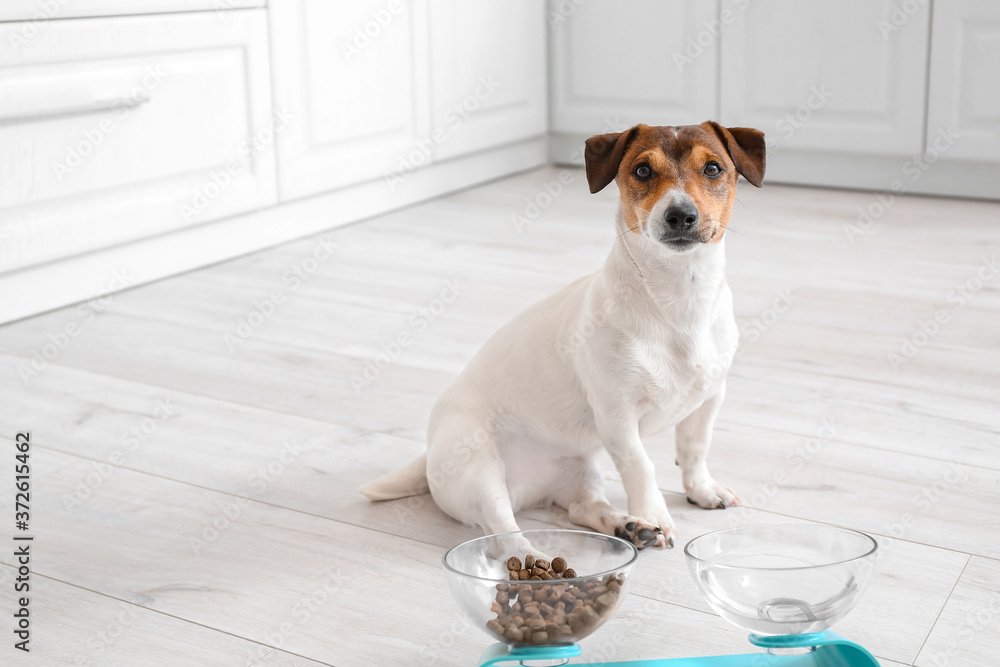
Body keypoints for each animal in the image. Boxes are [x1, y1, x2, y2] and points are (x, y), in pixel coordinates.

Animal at [364, 122, 760, 552]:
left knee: (582, 508)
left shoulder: (708, 398)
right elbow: (641, 466)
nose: (681, 215)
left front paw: (700, 490)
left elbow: (694, 448)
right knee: (503, 531)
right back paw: (534, 558)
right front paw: (656, 515)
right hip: (479, 469)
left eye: (712, 168)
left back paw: (627, 526)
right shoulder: (617, 417)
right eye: (642, 171)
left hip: (582, 468)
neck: (679, 302)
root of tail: (430, 451)